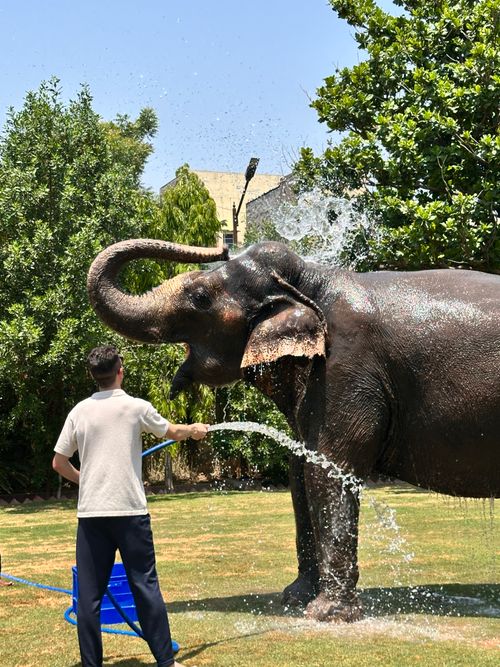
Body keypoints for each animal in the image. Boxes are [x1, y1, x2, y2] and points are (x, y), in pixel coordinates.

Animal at [87, 239, 500, 622]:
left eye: (201, 298)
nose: (222, 246)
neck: (313, 278)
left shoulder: (346, 369)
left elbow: (328, 473)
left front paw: (325, 615)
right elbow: (299, 473)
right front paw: (295, 599)